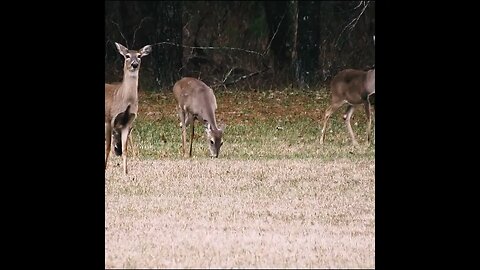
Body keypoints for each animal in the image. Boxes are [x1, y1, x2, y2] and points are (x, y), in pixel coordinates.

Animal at [105, 41, 152, 174]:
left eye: (139, 56)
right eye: (127, 56)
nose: (134, 64)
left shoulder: (127, 122)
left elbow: (125, 149)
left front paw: (125, 172)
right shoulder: (109, 119)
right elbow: (108, 148)